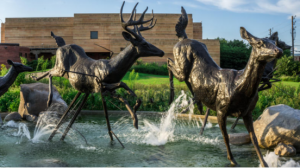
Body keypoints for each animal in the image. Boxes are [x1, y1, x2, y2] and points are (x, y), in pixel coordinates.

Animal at [31, 1, 164, 142]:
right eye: (144, 44)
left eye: (147, 41)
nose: (162, 52)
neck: (112, 69)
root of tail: (61, 46)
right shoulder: (100, 85)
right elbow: (123, 85)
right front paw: (135, 116)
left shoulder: (107, 91)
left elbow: (124, 95)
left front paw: (136, 115)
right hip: (60, 67)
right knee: (50, 73)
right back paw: (47, 97)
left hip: (70, 77)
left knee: (50, 75)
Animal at [168, 6, 282, 168]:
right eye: (259, 43)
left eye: (274, 41)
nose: (279, 51)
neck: (240, 87)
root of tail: (183, 38)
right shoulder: (221, 109)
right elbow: (226, 136)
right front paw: (233, 160)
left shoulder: (247, 112)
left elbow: (254, 138)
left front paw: (264, 163)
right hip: (180, 62)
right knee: (169, 63)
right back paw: (172, 97)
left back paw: (196, 101)